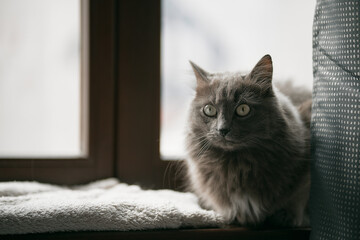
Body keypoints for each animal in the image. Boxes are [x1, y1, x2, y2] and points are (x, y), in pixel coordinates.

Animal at [184, 54, 310, 227]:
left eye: (243, 109)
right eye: (209, 110)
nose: (222, 129)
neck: (236, 166)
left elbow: (299, 197)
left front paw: (288, 216)